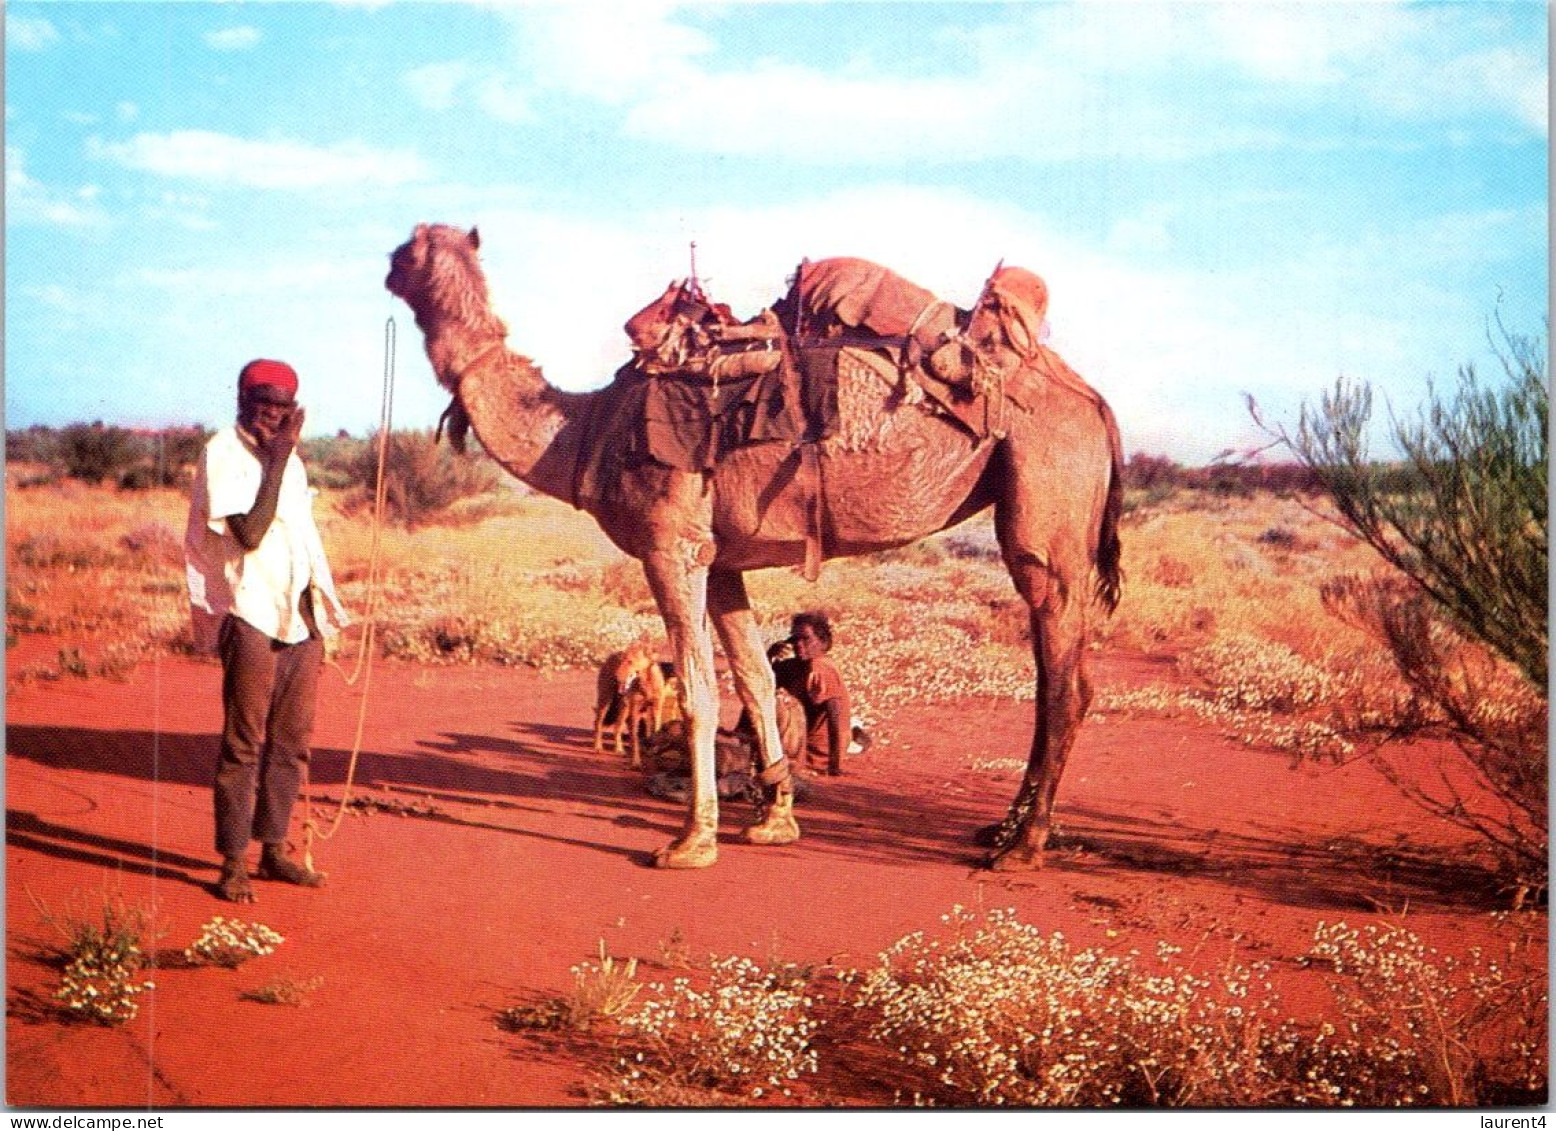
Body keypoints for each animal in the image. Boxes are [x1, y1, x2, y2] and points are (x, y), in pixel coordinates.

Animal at [387, 225, 1120, 871]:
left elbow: (697, 689)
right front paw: (775, 820)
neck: (581, 429)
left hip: (1046, 498)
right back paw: (1002, 830)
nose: (388, 268)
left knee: (1068, 680)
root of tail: (1093, 401)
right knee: (1051, 677)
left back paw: (1024, 847)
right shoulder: (723, 562)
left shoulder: (672, 547)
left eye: (406, 250)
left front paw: (691, 842)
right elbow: (757, 679)